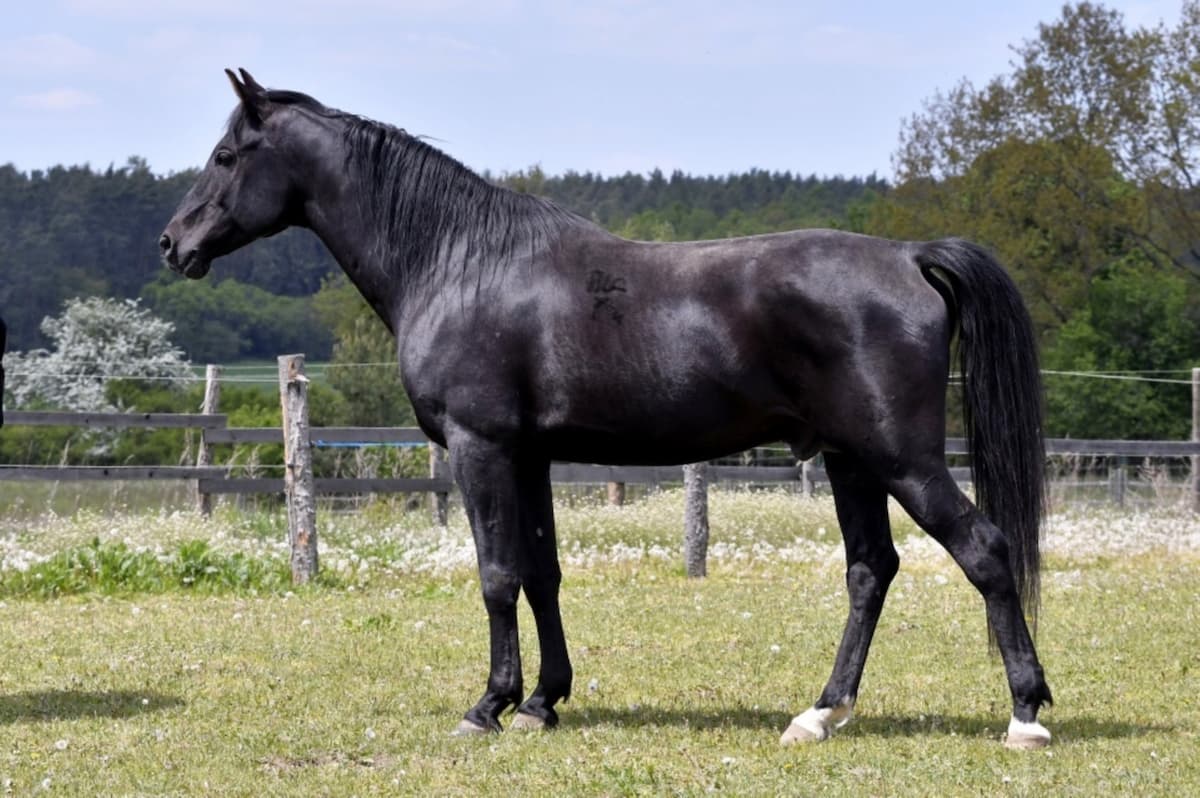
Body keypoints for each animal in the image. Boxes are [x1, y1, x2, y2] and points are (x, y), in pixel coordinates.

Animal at [161, 69, 1053, 750]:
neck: (459, 262)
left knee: (983, 550)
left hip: (903, 457)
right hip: (850, 459)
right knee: (871, 570)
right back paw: (819, 713)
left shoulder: (480, 448)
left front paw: (489, 706)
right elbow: (542, 574)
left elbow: (496, 574)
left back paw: (1025, 715)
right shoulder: (529, 456)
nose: (174, 243)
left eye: (227, 154)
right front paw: (541, 702)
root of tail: (908, 257)